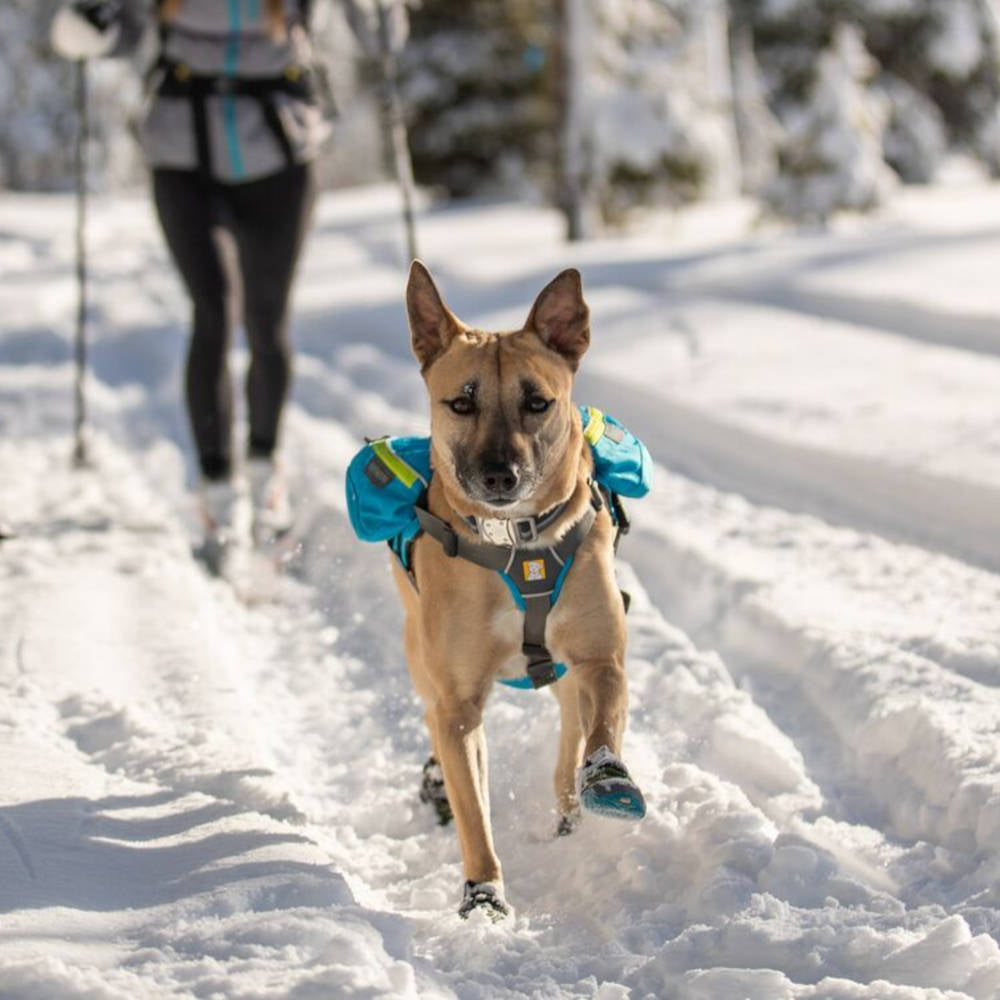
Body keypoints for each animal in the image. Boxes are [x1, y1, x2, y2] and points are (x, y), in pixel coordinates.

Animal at [394, 262, 644, 916]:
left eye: (537, 402)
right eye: (461, 402)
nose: (499, 476)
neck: (517, 545)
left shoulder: (598, 652)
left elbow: (601, 717)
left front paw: (606, 778)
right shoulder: (458, 706)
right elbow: (473, 811)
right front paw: (484, 897)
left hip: (561, 671)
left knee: (570, 727)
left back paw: (573, 803)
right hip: (424, 662)